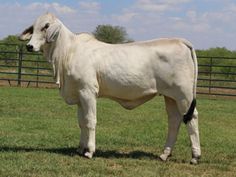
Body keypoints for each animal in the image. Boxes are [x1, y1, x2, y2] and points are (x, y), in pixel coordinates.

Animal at [19, 12, 201, 165]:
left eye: (46, 26)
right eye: (34, 27)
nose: (29, 46)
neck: (67, 53)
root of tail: (180, 40)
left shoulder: (88, 92)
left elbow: (91, 121)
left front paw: (90, 151)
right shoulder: (79, 96)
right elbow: (82, 122)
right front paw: (80, 148)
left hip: (183, 95)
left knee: (191, 118)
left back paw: (195, 156)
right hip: (170, 96)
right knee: (174, 120)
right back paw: (165, 154)